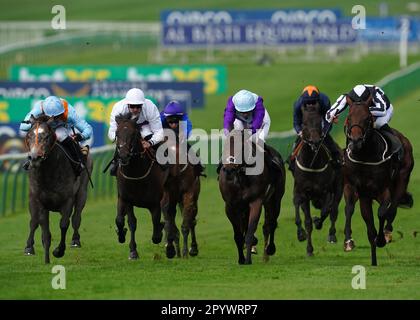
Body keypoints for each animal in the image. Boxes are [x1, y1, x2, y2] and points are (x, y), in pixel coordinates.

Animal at [23, 114, 92, 262]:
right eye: (29, 135)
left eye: (47, 136)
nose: (34, 157)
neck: (49, 172)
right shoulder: (38, 200)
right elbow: (41, 227)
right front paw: (39, 254)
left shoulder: (67, 200)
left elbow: (64, 224)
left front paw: (59, 251)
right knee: (34, 222)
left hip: (82, 192)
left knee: (76, 217)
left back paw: (75, 240)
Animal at [115, 114, 169, 258]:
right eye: (116, 133)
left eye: (134, 134)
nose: (123, 156)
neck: (136, 174)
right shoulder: (126, 199)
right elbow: (127, 222)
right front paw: (131, 249)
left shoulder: (155, 203)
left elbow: (156, 227)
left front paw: (160, 231)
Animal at [220, 130, 286, 264]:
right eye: (225, 145)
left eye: (242, 146)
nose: (229, 170)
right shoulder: (230, 206)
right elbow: (238, 235)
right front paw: (241, 259)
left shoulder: (256, 202)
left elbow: (250, 232)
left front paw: (248, 260)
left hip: (275, 199)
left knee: (271, 223)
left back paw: (269, 250)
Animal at [290, 104, 342, 256]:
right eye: (304, 123)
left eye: (320, 122)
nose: (315, 141)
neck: (311, 163)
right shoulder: (302, 192)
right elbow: (306, 220)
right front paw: (307, 245)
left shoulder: (326, 191)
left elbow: (326, 211)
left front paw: (317, 222)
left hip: (338, 188)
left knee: (333, 211)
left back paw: (331, 234)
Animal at [342, 95, 416, 264]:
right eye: (349, 117)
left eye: (367, 118)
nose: (355, 141)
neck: (365, 156)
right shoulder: (361, 192)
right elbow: (367, 226)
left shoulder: (383, 190)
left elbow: (382, 213)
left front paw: (381, 239)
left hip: (402, 179)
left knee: (393, 208)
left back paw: (387, 233)